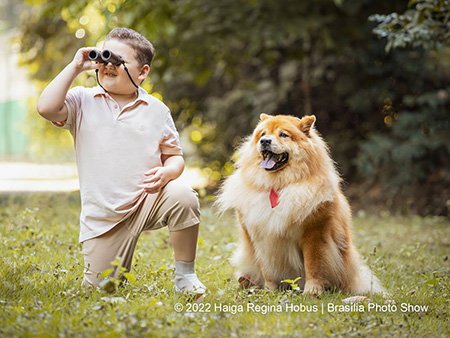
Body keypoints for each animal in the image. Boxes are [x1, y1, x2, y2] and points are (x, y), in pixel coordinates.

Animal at [218, 114, 384, 296]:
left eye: (283, 135)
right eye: (263, 134)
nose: (265, 141)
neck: (278, 185)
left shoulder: (314, 233)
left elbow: (313, 265)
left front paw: (312, 291)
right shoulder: (260, 236)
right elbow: (267, 269)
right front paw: (270, 291)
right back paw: (247, 282)